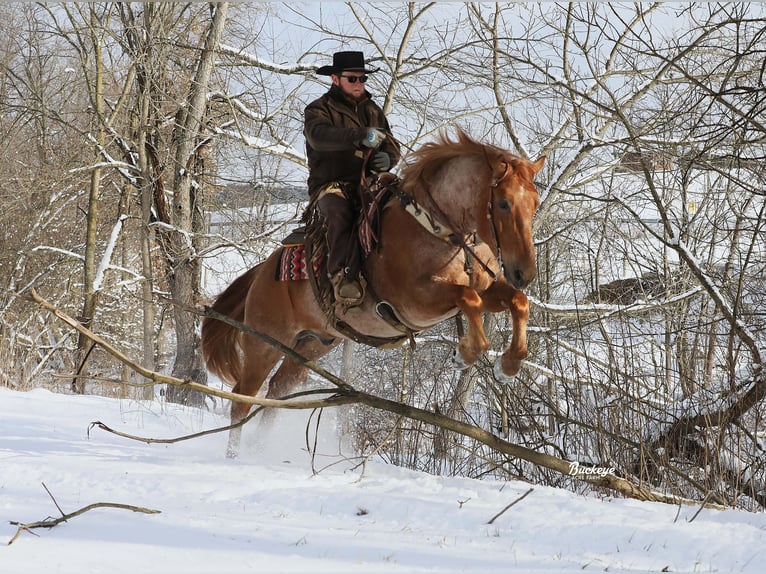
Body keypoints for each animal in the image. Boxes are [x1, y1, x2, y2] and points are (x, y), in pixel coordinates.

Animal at [201, 128, 544, 456]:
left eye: (535, 204)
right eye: (503, 203)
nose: (524, 273)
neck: (439, 230)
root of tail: (262, 271)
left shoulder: (487, 289)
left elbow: (518, 301)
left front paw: (508, 365)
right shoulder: (416, 302)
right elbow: (468, 299)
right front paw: (466, 353)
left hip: (311, 344)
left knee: (277, 391)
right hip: (265, 342)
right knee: (243, 397)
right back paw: (233, 456)